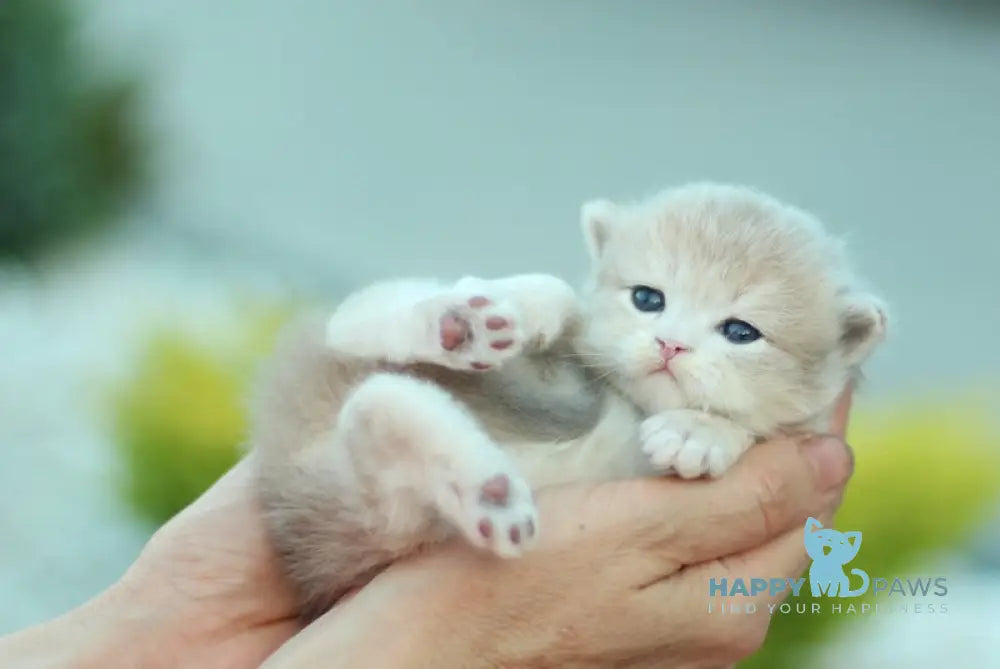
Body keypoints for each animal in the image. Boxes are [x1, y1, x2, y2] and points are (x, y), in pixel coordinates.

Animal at [246, 181, 888, 616]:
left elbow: (758, 427)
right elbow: (562, 296)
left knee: (380, 404)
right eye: (648, 298)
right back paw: (457, 324)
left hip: (382, 518)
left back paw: (486, 492)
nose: (670, 343)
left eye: (740, 332)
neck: (633, 405)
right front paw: (526, 303)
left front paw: (696, 432)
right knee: (358, 324)